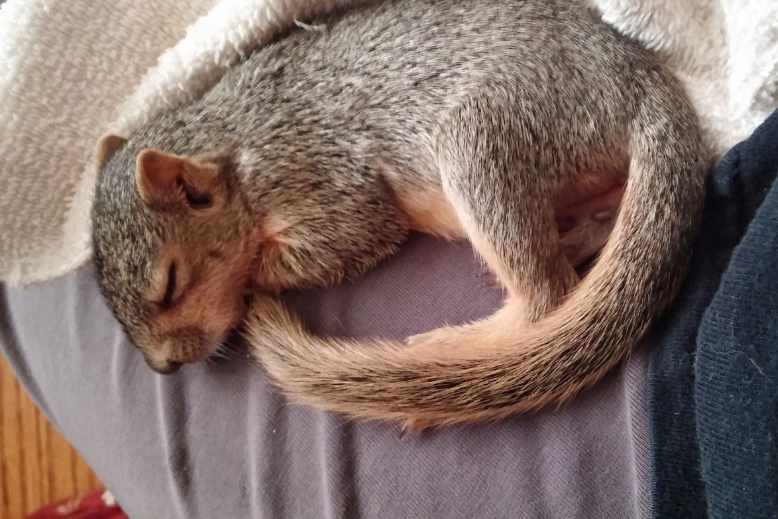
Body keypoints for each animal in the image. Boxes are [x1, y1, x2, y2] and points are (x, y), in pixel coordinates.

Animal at [91, 0, 707, 429]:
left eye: (171, 284)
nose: (163, 368)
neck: (231, 143)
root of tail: (642, 79)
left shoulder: (319, 181)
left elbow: (342, 239)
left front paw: (249, 289)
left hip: (480, 138)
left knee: (546, 293)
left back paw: (456, 347)